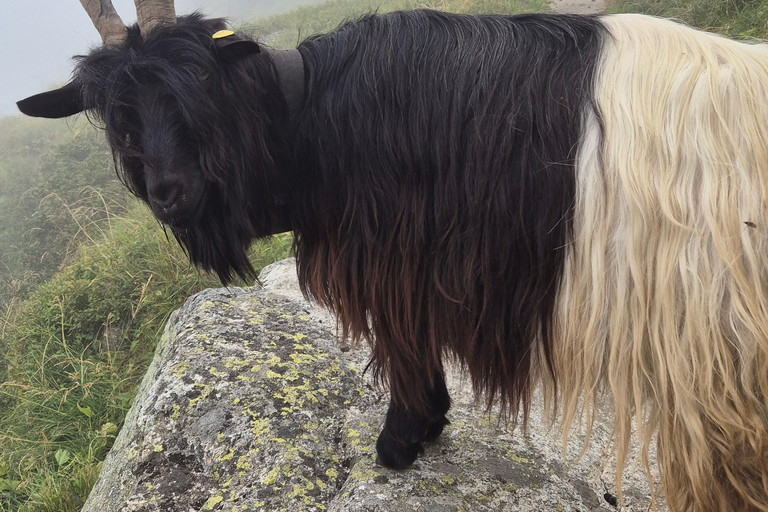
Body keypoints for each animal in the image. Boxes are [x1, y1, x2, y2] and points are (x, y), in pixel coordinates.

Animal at [16, 2, 768, 510]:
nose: (171, 193)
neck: (314, 117)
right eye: (118, 117)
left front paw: (402, 440)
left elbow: (403, 339)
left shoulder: (398, 259)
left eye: (201, 83)